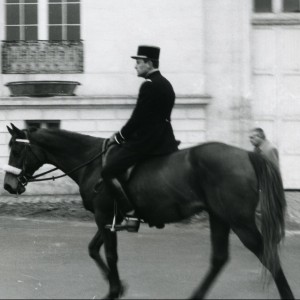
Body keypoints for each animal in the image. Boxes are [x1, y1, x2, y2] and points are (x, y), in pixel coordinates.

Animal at [2, 123, 296, 298]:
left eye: (16, 149)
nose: (8, 185)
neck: (91, 164)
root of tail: (248, 154)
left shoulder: (103, 216)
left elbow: (111, 255)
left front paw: (114, 290)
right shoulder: (109, 218)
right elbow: (94, 249)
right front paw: (118, 286)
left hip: (239, 221)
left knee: (267, 256)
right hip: (220, 217)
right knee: (219, 259)